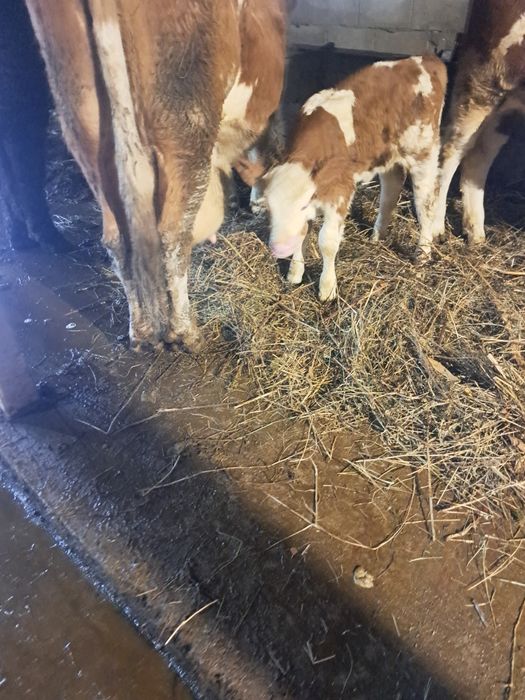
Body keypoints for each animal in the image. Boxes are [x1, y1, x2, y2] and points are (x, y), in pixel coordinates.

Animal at [25, 0, 288, 350]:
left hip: (86, 126)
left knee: (116, 239)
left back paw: (142, 331)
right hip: (186, 117)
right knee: (173, 235)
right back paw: (186, 333)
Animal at [261, 55, 447, 301]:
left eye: (301, 205)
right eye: (270, 208)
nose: (279, 248)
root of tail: (426, 59)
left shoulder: (341, 191)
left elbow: (327, 242)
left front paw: (327, 289)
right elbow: (302, 234)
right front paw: (294, 273)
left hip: (424, 154)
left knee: (426, 204)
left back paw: (422, 255)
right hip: (388, 156)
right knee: (390, 191)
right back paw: (377, 236)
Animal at [432, 0, 525, 247]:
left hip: (509, 104)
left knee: (478, 155)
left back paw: (476, 234)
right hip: (485, 75)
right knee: (450, 149)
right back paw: (435, 229)